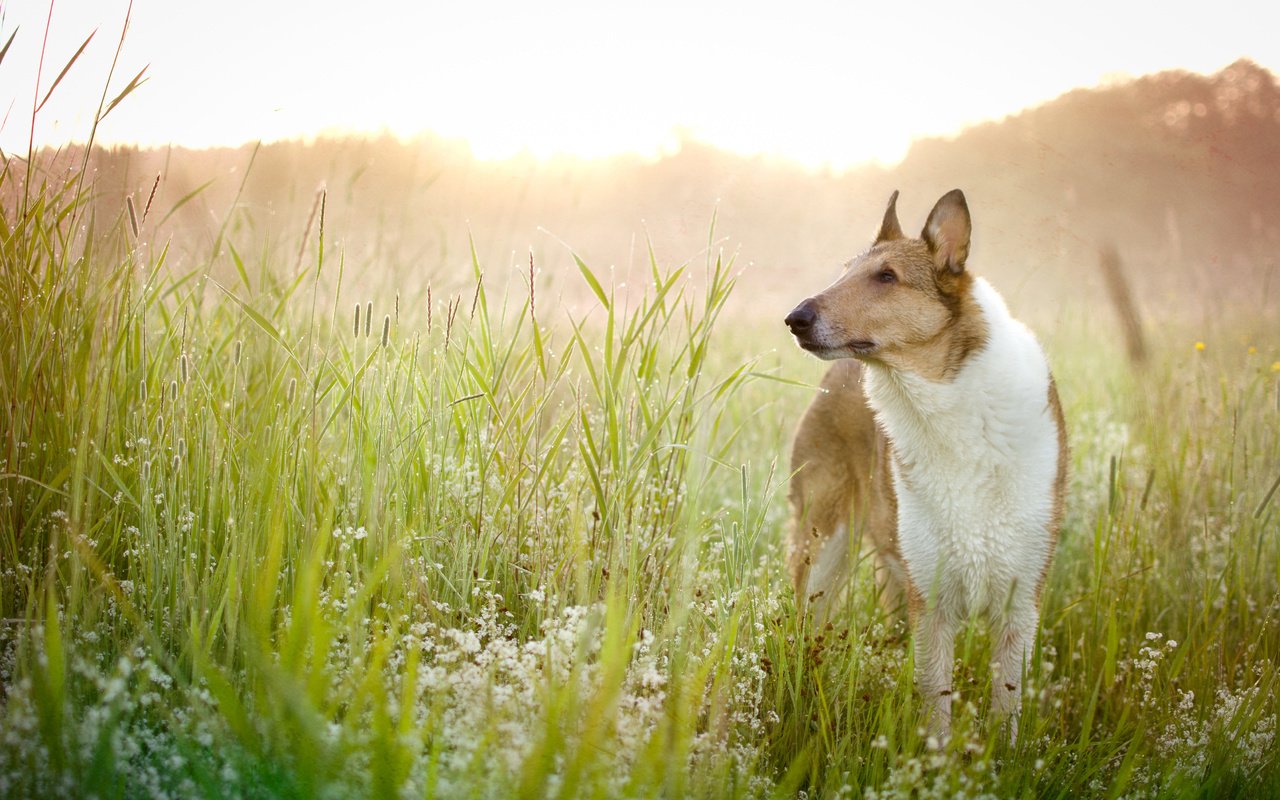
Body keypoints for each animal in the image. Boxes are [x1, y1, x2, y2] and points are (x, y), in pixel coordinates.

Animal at [778, 190, 1070, 737]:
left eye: (886, 276)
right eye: (845, 272)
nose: (795, 318)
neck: (950, 409)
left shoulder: (1019, 604)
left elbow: (1007, 707)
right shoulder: (930, 604)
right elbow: (936, 706)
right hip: (823, 547)